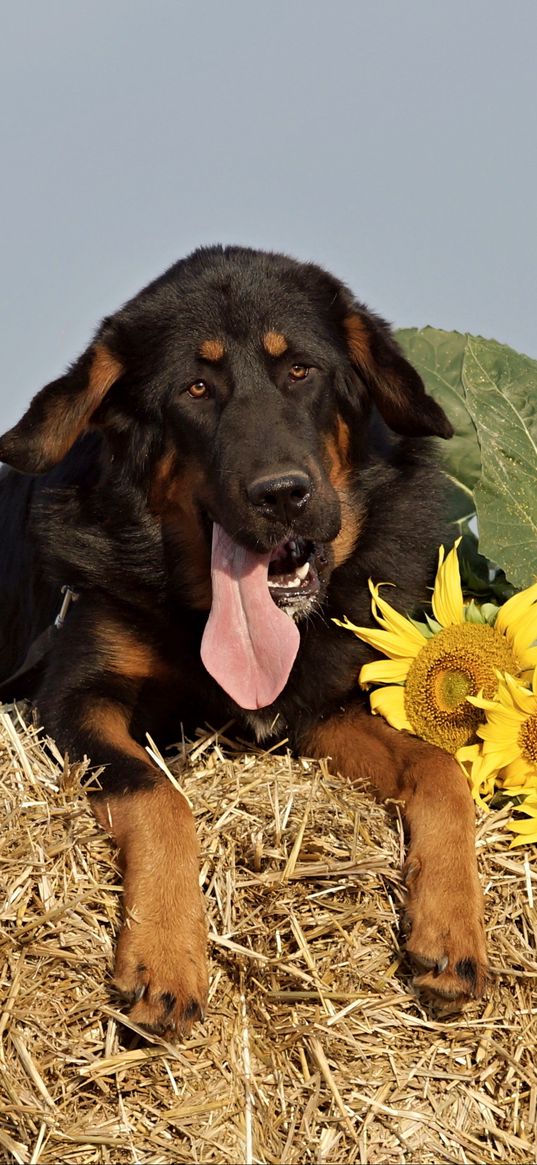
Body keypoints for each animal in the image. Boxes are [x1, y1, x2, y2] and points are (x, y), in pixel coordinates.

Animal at [0, 248, 484, 1039]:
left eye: (301, 371)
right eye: (196, 388)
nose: (281, 493)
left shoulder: (319, 710)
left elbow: (441, 769)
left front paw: (451, 928)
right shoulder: (76, 700)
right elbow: (159, 796)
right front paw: (166, 956)